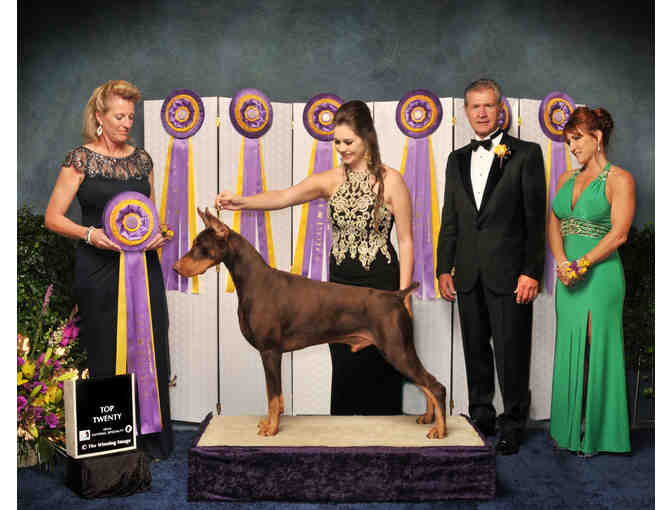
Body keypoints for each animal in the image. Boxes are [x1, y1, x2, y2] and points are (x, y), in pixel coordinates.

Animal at [174, 208, 447, 439]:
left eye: (200, 246)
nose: (176, 268)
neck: (254, 281)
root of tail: (396, 296)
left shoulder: (270, 352)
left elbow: (274, 396)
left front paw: (272, 429)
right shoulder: (270, 354)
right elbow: (274, 396)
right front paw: (269, 423)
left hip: (396, 349)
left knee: (436, 386)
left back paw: (440, 430)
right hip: (400, 350)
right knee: (426, 383)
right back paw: (427, 417)